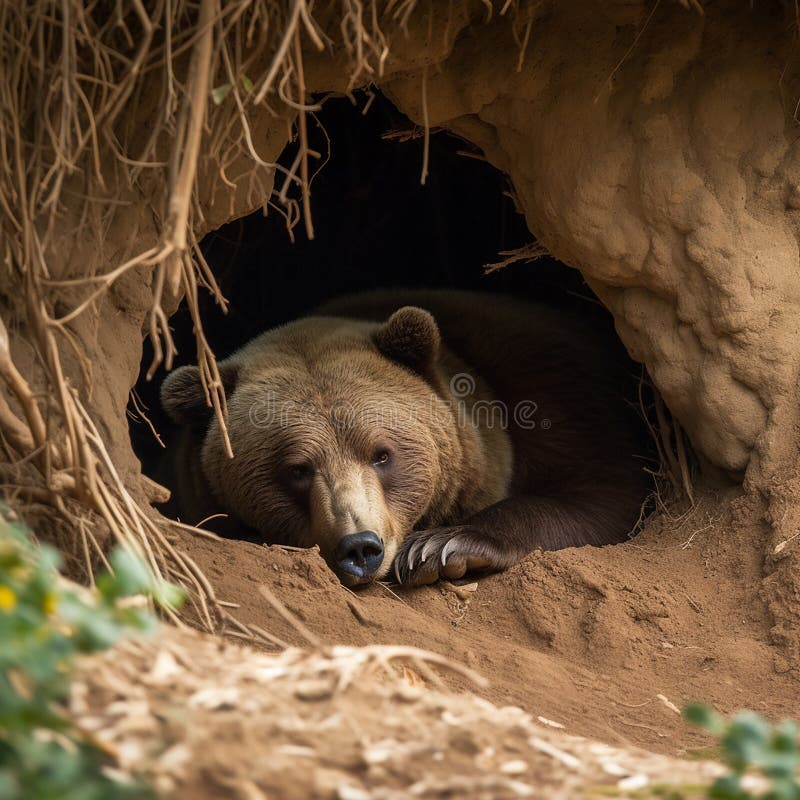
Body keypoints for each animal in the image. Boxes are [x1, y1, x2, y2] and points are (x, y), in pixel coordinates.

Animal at [158, 290, 648, 584]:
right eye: (297, 469)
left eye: (381, 454)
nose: (360, 546)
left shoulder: (553, 386)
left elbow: (603, 491)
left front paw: (439, 546)